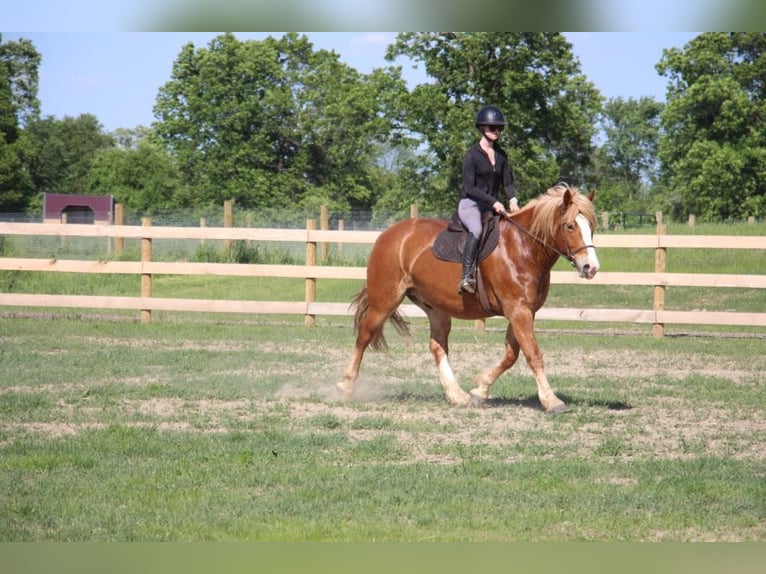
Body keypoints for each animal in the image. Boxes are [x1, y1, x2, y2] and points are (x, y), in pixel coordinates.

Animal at [338, 183, 600, 414]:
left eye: (591, 226)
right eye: (570, 226)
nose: (591, 267)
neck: (523, 247)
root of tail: (389, 233)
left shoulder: (524, 311)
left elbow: (511, 354)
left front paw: (480, 389)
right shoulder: (518, 311)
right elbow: (532, 354)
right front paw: (551, 401)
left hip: (436, 308)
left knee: (437, 346)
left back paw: (457, 395)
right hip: (385, 301)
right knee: (364, 335)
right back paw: (346, 385)